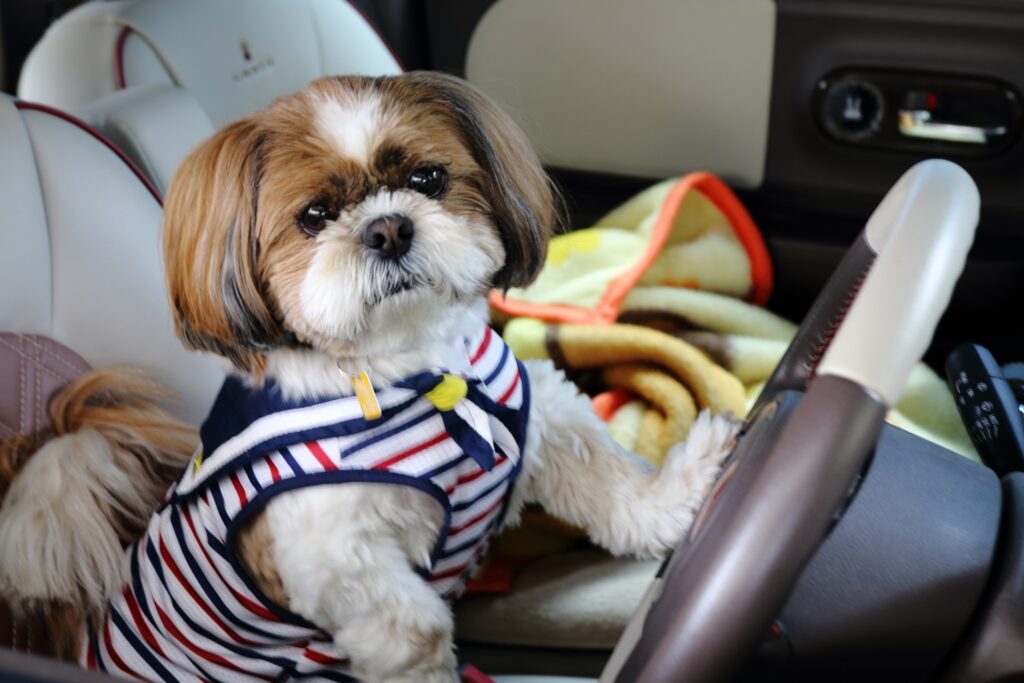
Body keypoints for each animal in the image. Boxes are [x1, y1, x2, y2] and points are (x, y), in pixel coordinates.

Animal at [0, 72, 737, 679]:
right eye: (315, 216)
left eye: (428, 180)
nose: (387, 228)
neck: (415, 376)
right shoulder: (333, 552)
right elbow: (417, 633)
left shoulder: (539, 418)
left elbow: (610, 484)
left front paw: (680, 493)